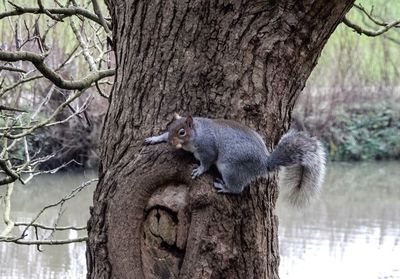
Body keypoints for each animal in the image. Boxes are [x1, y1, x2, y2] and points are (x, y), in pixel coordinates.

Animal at [145, 112, 326, 207]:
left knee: (237, 189)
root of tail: (263, 163)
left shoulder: (207, 148)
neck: (195, 135)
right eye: (170, 127)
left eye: (182, 132)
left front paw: (199, 170)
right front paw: (156, 138)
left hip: (231, 169)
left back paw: (225, 187)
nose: (170, 142)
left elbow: (207, 162)